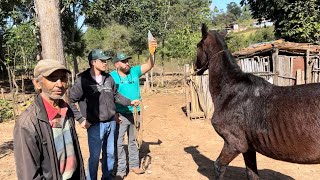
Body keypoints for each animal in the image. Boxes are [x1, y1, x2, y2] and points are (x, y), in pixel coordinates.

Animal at [195, 24, 320, 180]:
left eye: (197, 46)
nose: (195, 67)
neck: (230, 89)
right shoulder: (249, 148)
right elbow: (252, 174)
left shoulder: (235, 143)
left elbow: (218, 167)